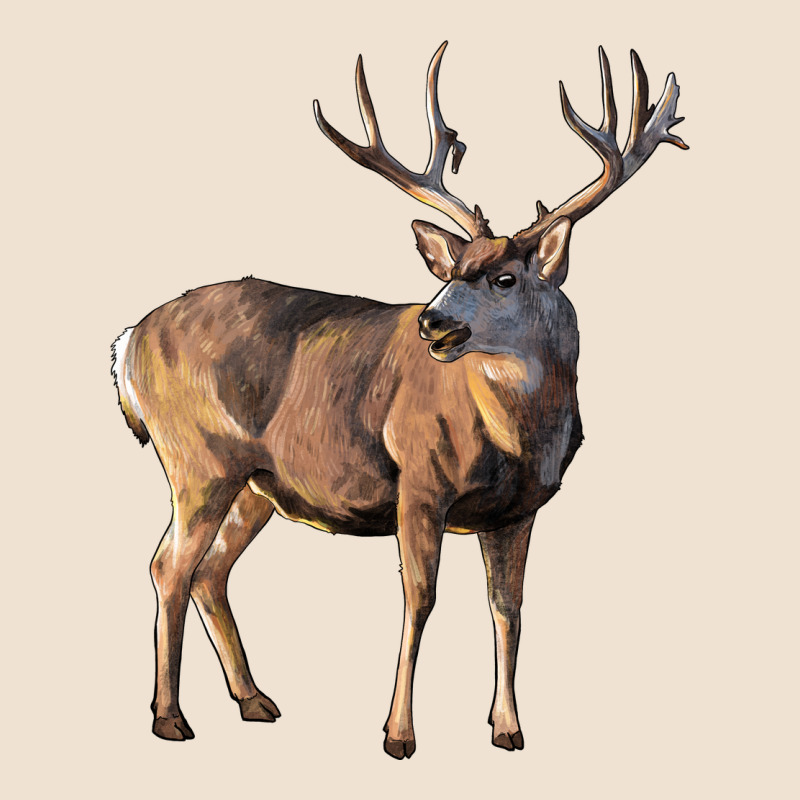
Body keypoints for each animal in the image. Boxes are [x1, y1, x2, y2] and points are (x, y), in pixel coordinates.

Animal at [111, 42, 687, 758]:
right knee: (169, 565)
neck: (518, 437)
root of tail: (129, 341)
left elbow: (508, 608)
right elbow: (420, 598)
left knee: (210, 571)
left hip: (256, 482)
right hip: (198, 459)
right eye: (450, 271)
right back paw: (170, 717)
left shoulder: (520, 509)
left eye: (504, 277)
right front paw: (398, 733)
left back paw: (255, 701)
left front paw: (508, 728)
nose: (432, 323)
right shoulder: (419, 481)